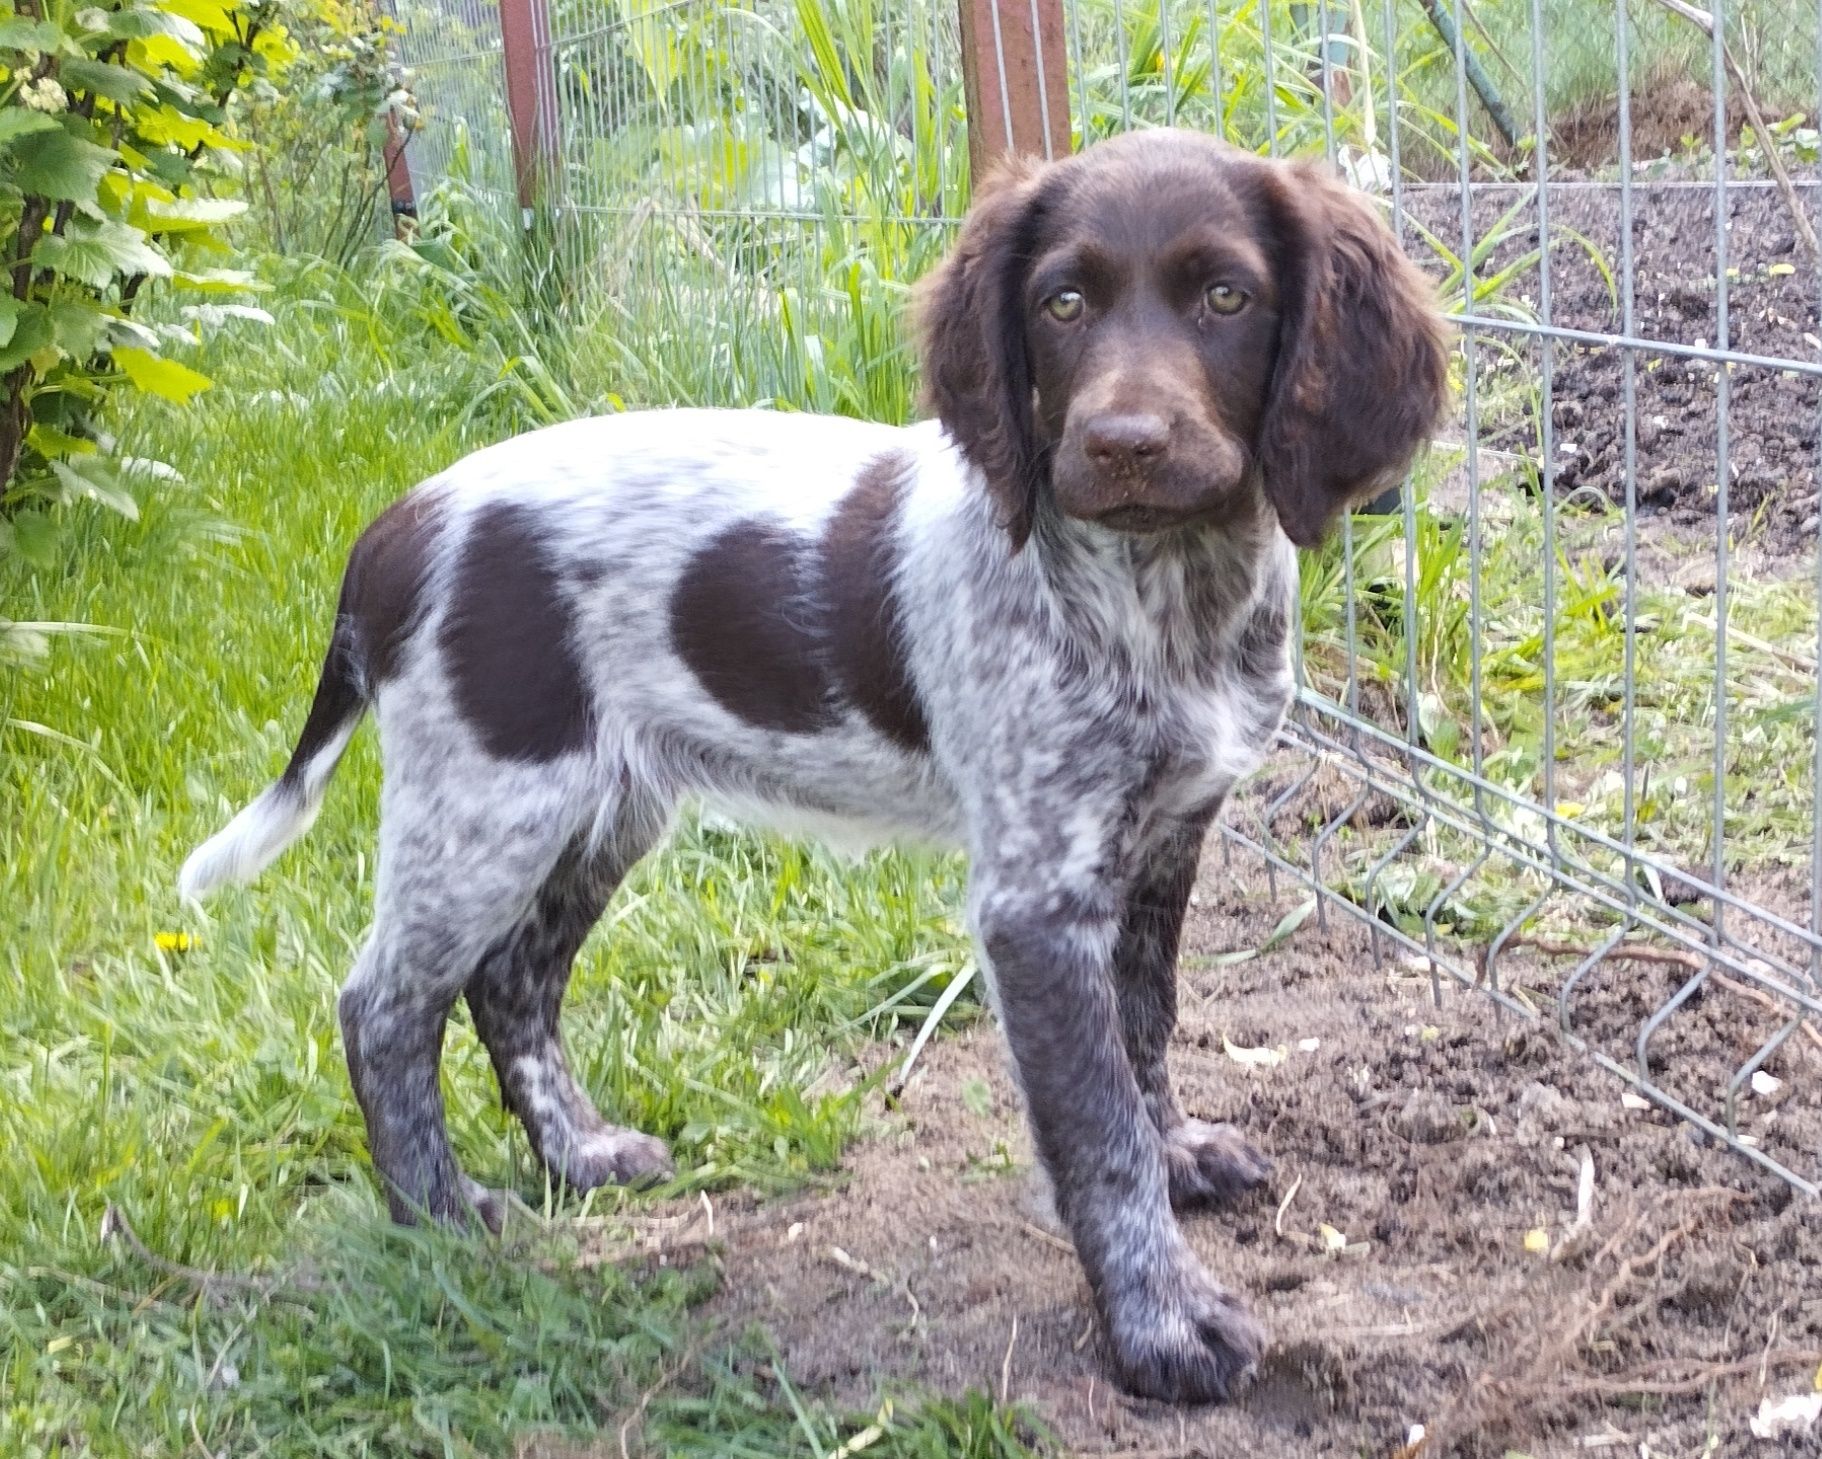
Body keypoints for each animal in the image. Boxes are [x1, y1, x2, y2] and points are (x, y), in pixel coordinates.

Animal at [177, 131, 1443, 1406]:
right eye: (1062, 304)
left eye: (1227, 297)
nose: (1120, 444)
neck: (1165, 591)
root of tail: (396, 528)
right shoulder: (1036, 899)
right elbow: (1096, 1130)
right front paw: (1161, 1322)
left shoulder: (1167, 837)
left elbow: (1145, 1025)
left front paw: (1177, 1154)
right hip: (486, 799)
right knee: (385, 1004)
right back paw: (436, 1216)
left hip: (599, 810)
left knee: (511, 982)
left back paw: (579, 1152)